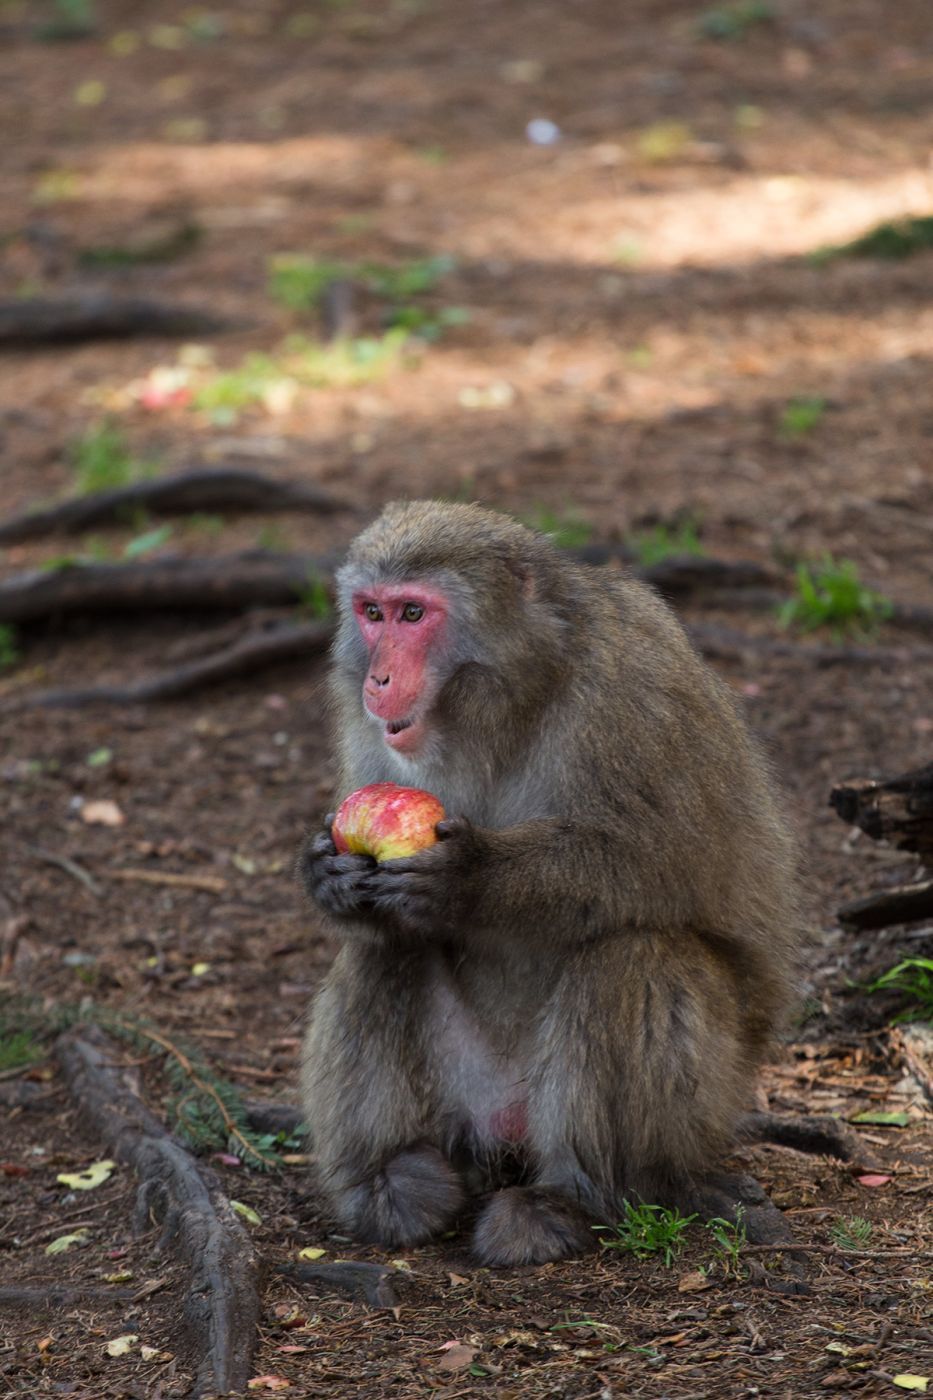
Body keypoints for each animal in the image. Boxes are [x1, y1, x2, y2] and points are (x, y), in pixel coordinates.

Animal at [298, 500, 799, 1267]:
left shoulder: (634, 682)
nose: (375, 680)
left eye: (414, 613)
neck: (515, 690)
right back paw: (392, 1180)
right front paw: (328, 874)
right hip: (466, 1099)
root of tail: (507, 1131)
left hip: (713, 1098)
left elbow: (658, 864)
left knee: (634, 955)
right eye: (371, 612)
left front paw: (471, 878)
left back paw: (579, 1196)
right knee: (383, 949)